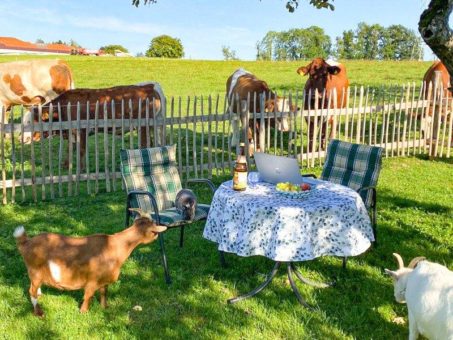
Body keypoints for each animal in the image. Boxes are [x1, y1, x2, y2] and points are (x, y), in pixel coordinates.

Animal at [13, 209, 166, 318]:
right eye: (153, 231)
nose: (157, 235)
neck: (114, 246)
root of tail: (25, 243)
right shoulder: (92, 280)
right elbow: (88, 295)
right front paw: (83, 312)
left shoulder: (104, 280)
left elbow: (104, 293)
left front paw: (105, 308)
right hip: (35, 271)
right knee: (31, 291)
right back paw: (39, 313)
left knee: (34, 288)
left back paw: (40, 296)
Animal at [33, 83, 164, 169]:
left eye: (36, 120)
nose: (30, 138)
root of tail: (149, 86)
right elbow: (70, 148)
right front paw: (66, 166)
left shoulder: (82, 130)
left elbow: (81, 149)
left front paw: (81, 169)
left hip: (143, 126)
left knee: (145, 145)